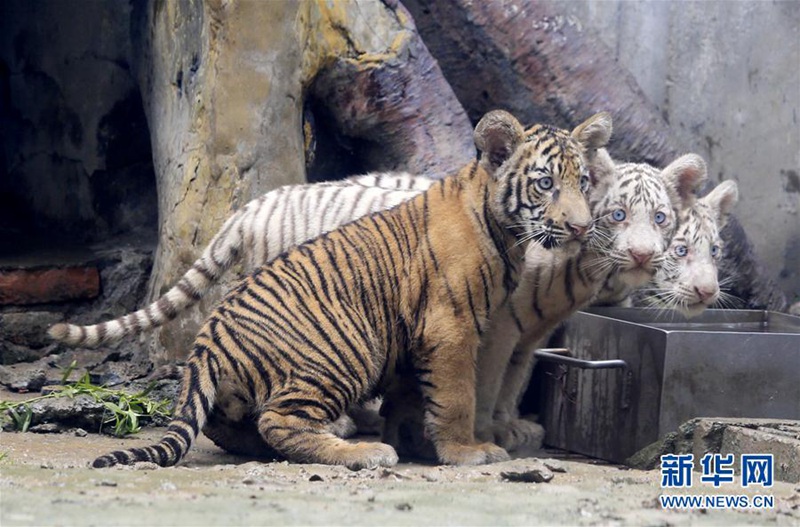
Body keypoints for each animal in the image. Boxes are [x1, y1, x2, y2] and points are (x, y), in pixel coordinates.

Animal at [90, 110, 613, 469]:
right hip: (348, 347)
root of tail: (209, 337)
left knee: (235, 425)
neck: (504, 231)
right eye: (545, 184)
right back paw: (362, 452)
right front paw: (465, 451)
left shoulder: (417, 333)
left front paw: (419, 442)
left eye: (584, 182)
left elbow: (413, 398)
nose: (582, 227)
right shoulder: (450, 327)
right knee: (280, 421)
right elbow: (457, 395)